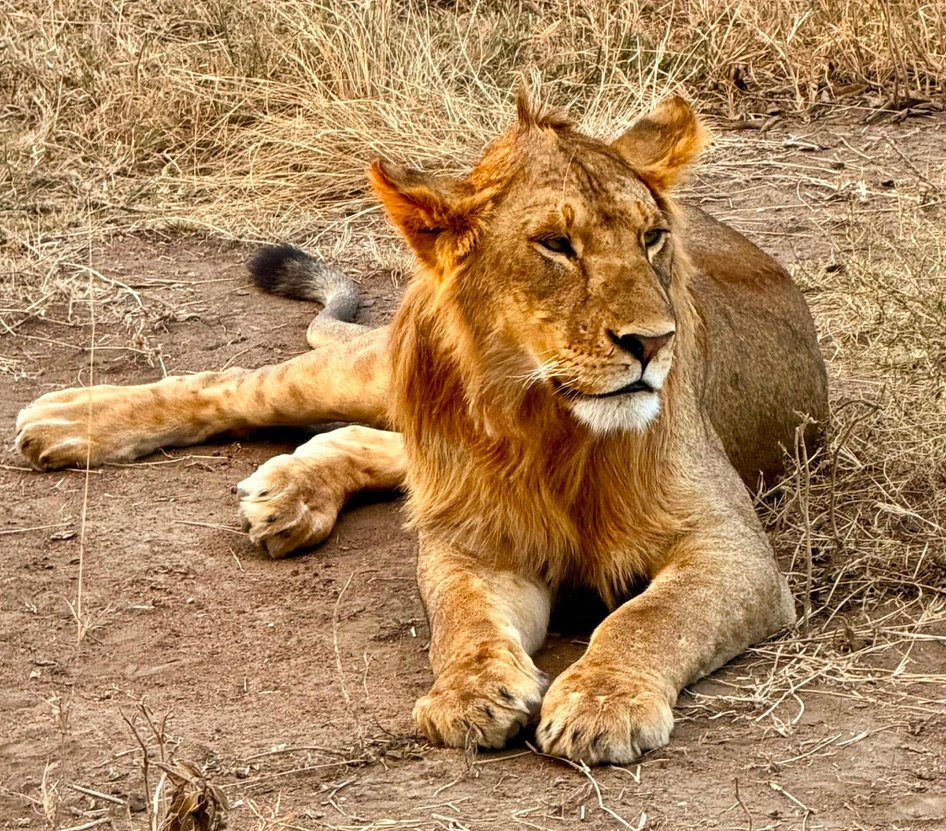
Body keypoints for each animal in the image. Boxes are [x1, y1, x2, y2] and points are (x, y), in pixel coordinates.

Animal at [15, 92, 827, 764]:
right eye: (555, 245)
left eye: (652, 237)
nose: (654, 343)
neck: (546, 427)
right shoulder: (474, 541)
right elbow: (462, 618)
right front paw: (468, 693)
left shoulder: (733, 548)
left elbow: (650, 616)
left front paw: (602, 702)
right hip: (384, 371)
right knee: (244, 385)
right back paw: (65, 420)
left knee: (373, 444)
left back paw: (288, 492)